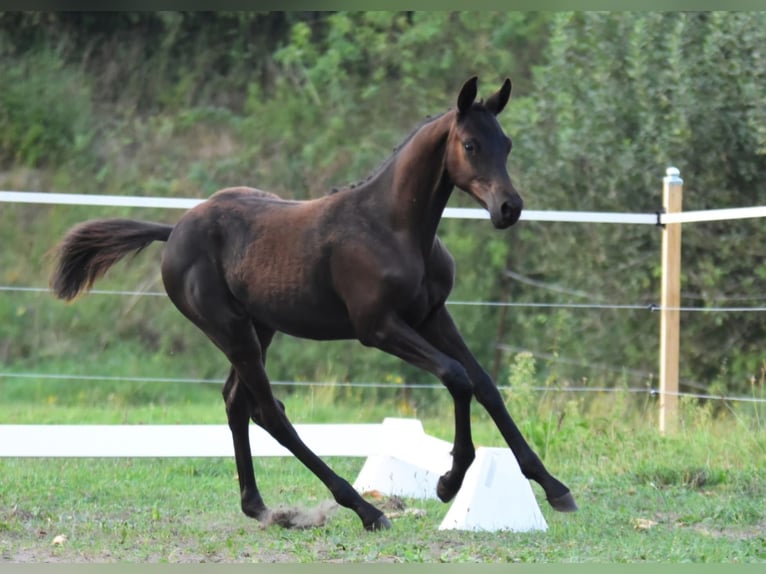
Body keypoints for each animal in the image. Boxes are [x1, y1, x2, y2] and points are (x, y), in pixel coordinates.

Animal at [51, 79, 576, 532]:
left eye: (506, 143)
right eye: (469, 145)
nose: (509, 208)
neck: (393, 226)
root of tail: (175, 230)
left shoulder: (432, 315)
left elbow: (485, 384)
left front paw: (553, 486)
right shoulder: (377, 327)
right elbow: (457, 376)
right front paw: (449, 482)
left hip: (259, 328)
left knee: (236, 401)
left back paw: (259, 506)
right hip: (229, 329)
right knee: (269, 412)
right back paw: (364, 510)